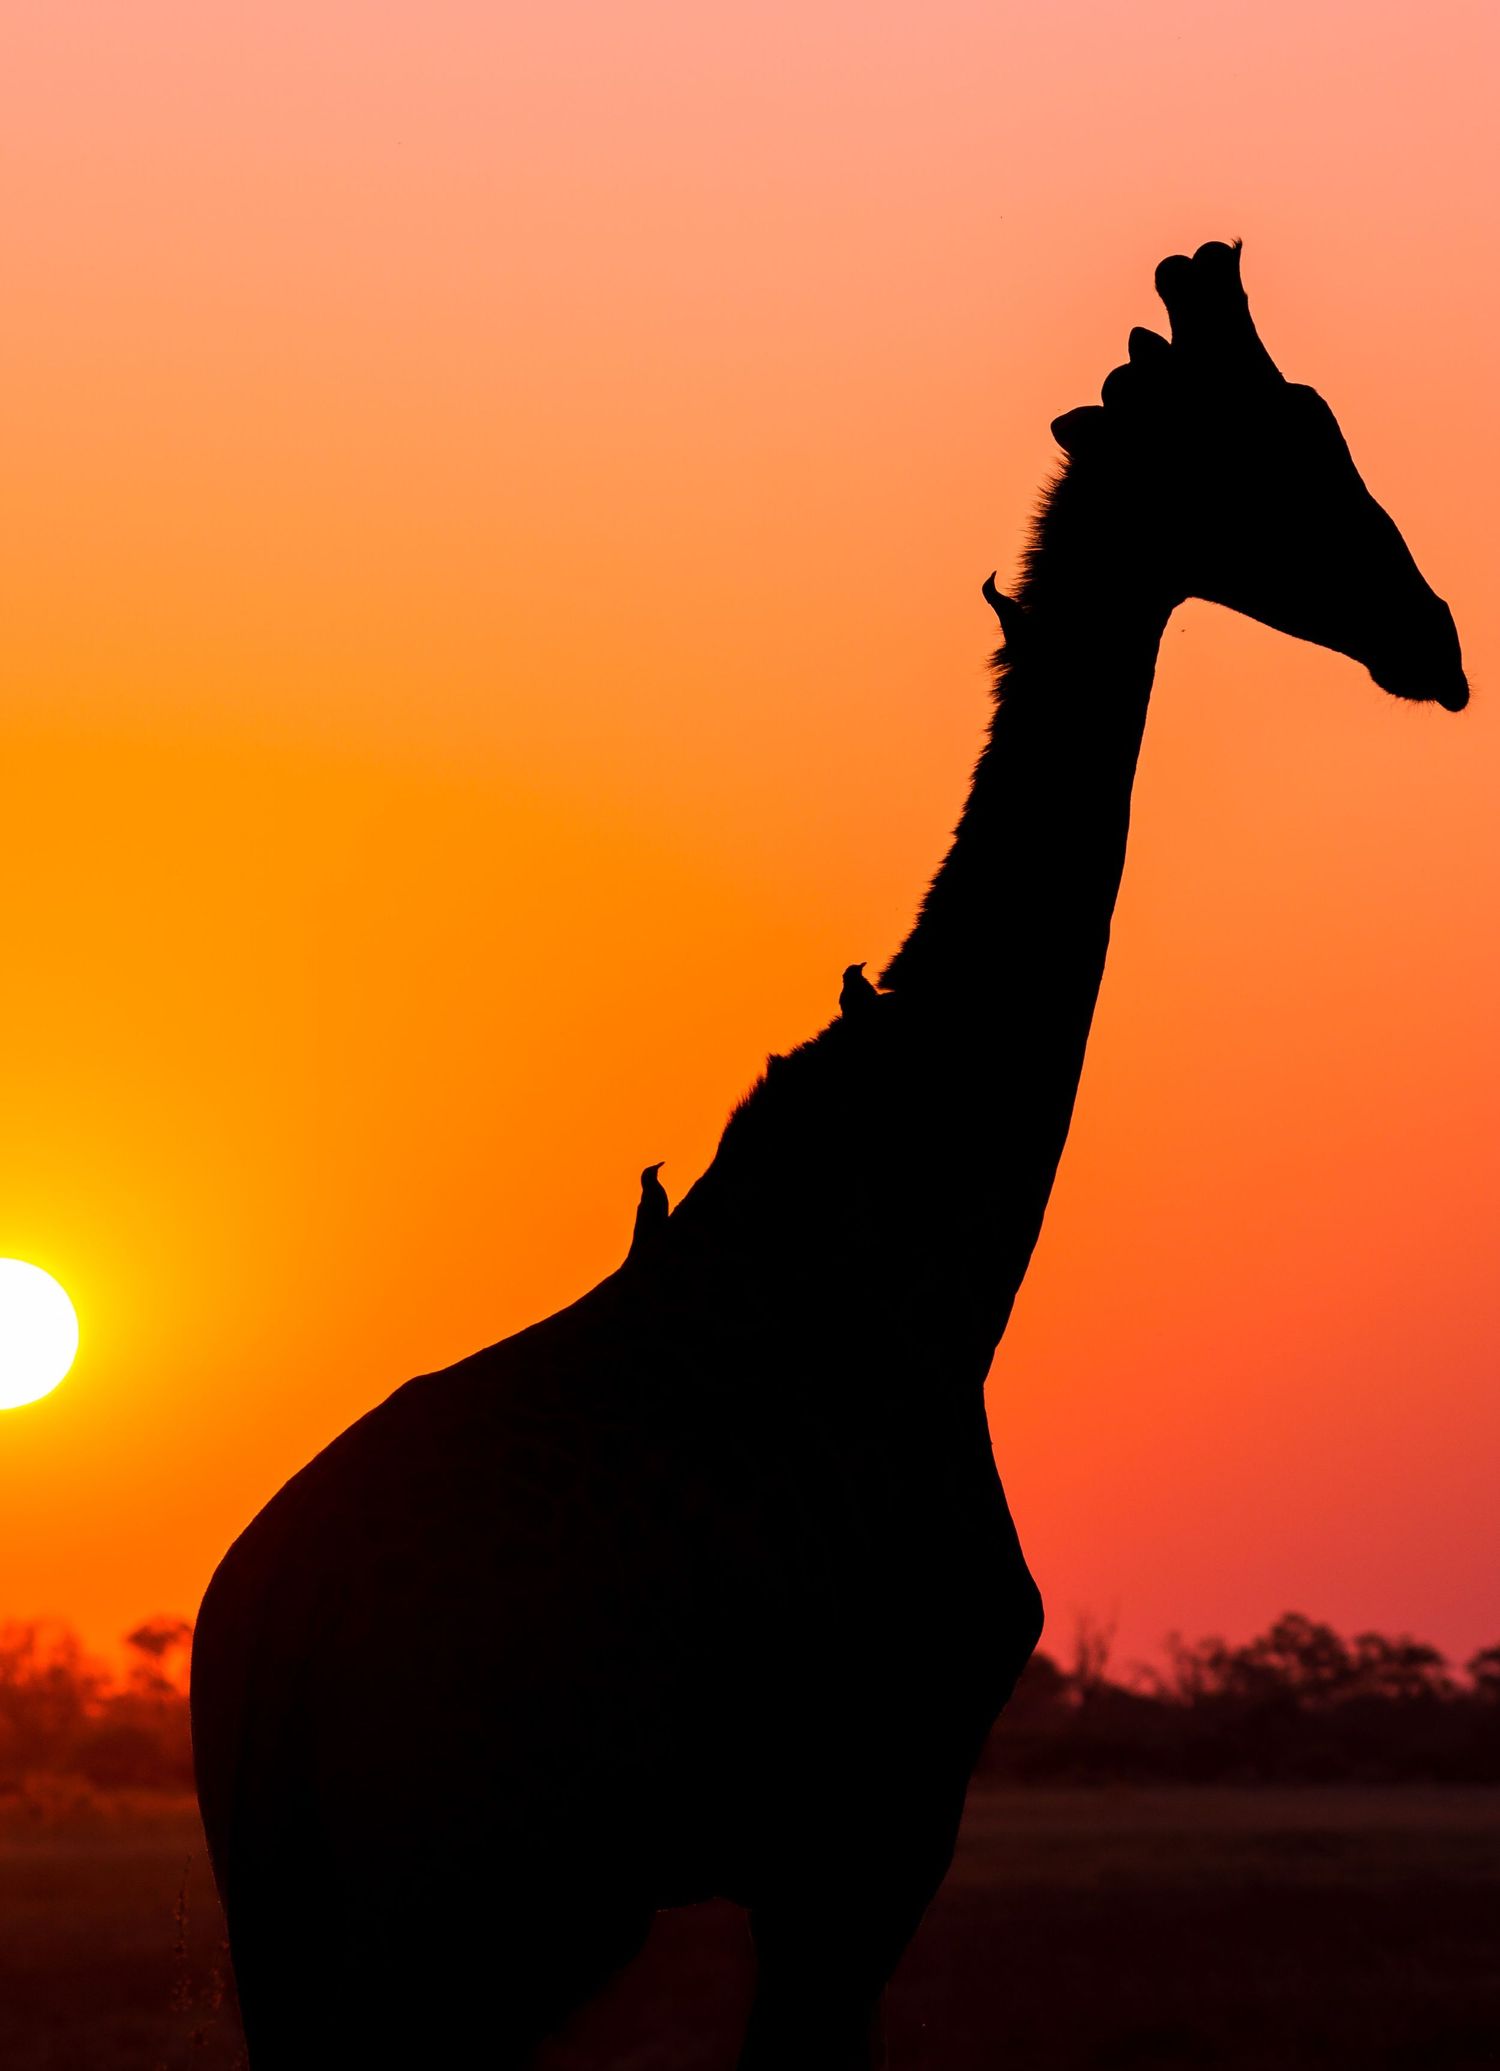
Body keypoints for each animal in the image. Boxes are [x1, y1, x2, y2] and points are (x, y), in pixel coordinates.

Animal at [190, 243, 1466, 2069]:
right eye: (1287, 440)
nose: (1433, 639)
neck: (932, 1254)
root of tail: (272, 1648)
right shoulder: (873, 1827)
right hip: (483, 1913)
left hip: (318, 1939)